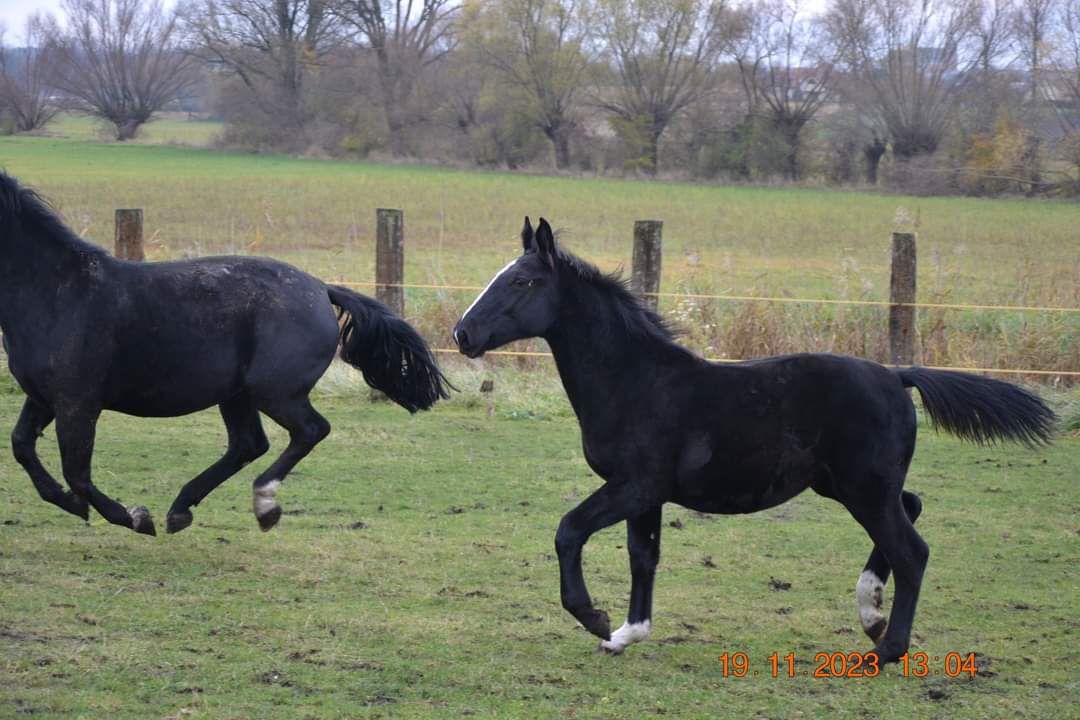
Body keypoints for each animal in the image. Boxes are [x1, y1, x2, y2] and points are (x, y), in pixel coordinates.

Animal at [0, 172, 447, 535]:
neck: (59, 292)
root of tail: (321, 289)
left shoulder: (77, 402)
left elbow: (77, 472)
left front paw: (133, 517)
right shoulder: (44, 397)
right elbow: (22, 445)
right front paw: (71, 503)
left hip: (274, 392)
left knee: (309, 431)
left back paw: (264, 504)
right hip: (237, 394)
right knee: (249, 444)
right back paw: (181, 510)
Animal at [453, 218, 1054, 664]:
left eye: (522, 282)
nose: (463, 333)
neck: (637, 381)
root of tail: (896, 375)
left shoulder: (634, 485)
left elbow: (569, 531)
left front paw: (594, 618)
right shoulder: (647, 494)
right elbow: (643, 557)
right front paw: (627, 633)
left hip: (863, 489)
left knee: (913, 551)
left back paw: (885, 649)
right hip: (849, 486)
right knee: (913, 506)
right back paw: (871, 611)